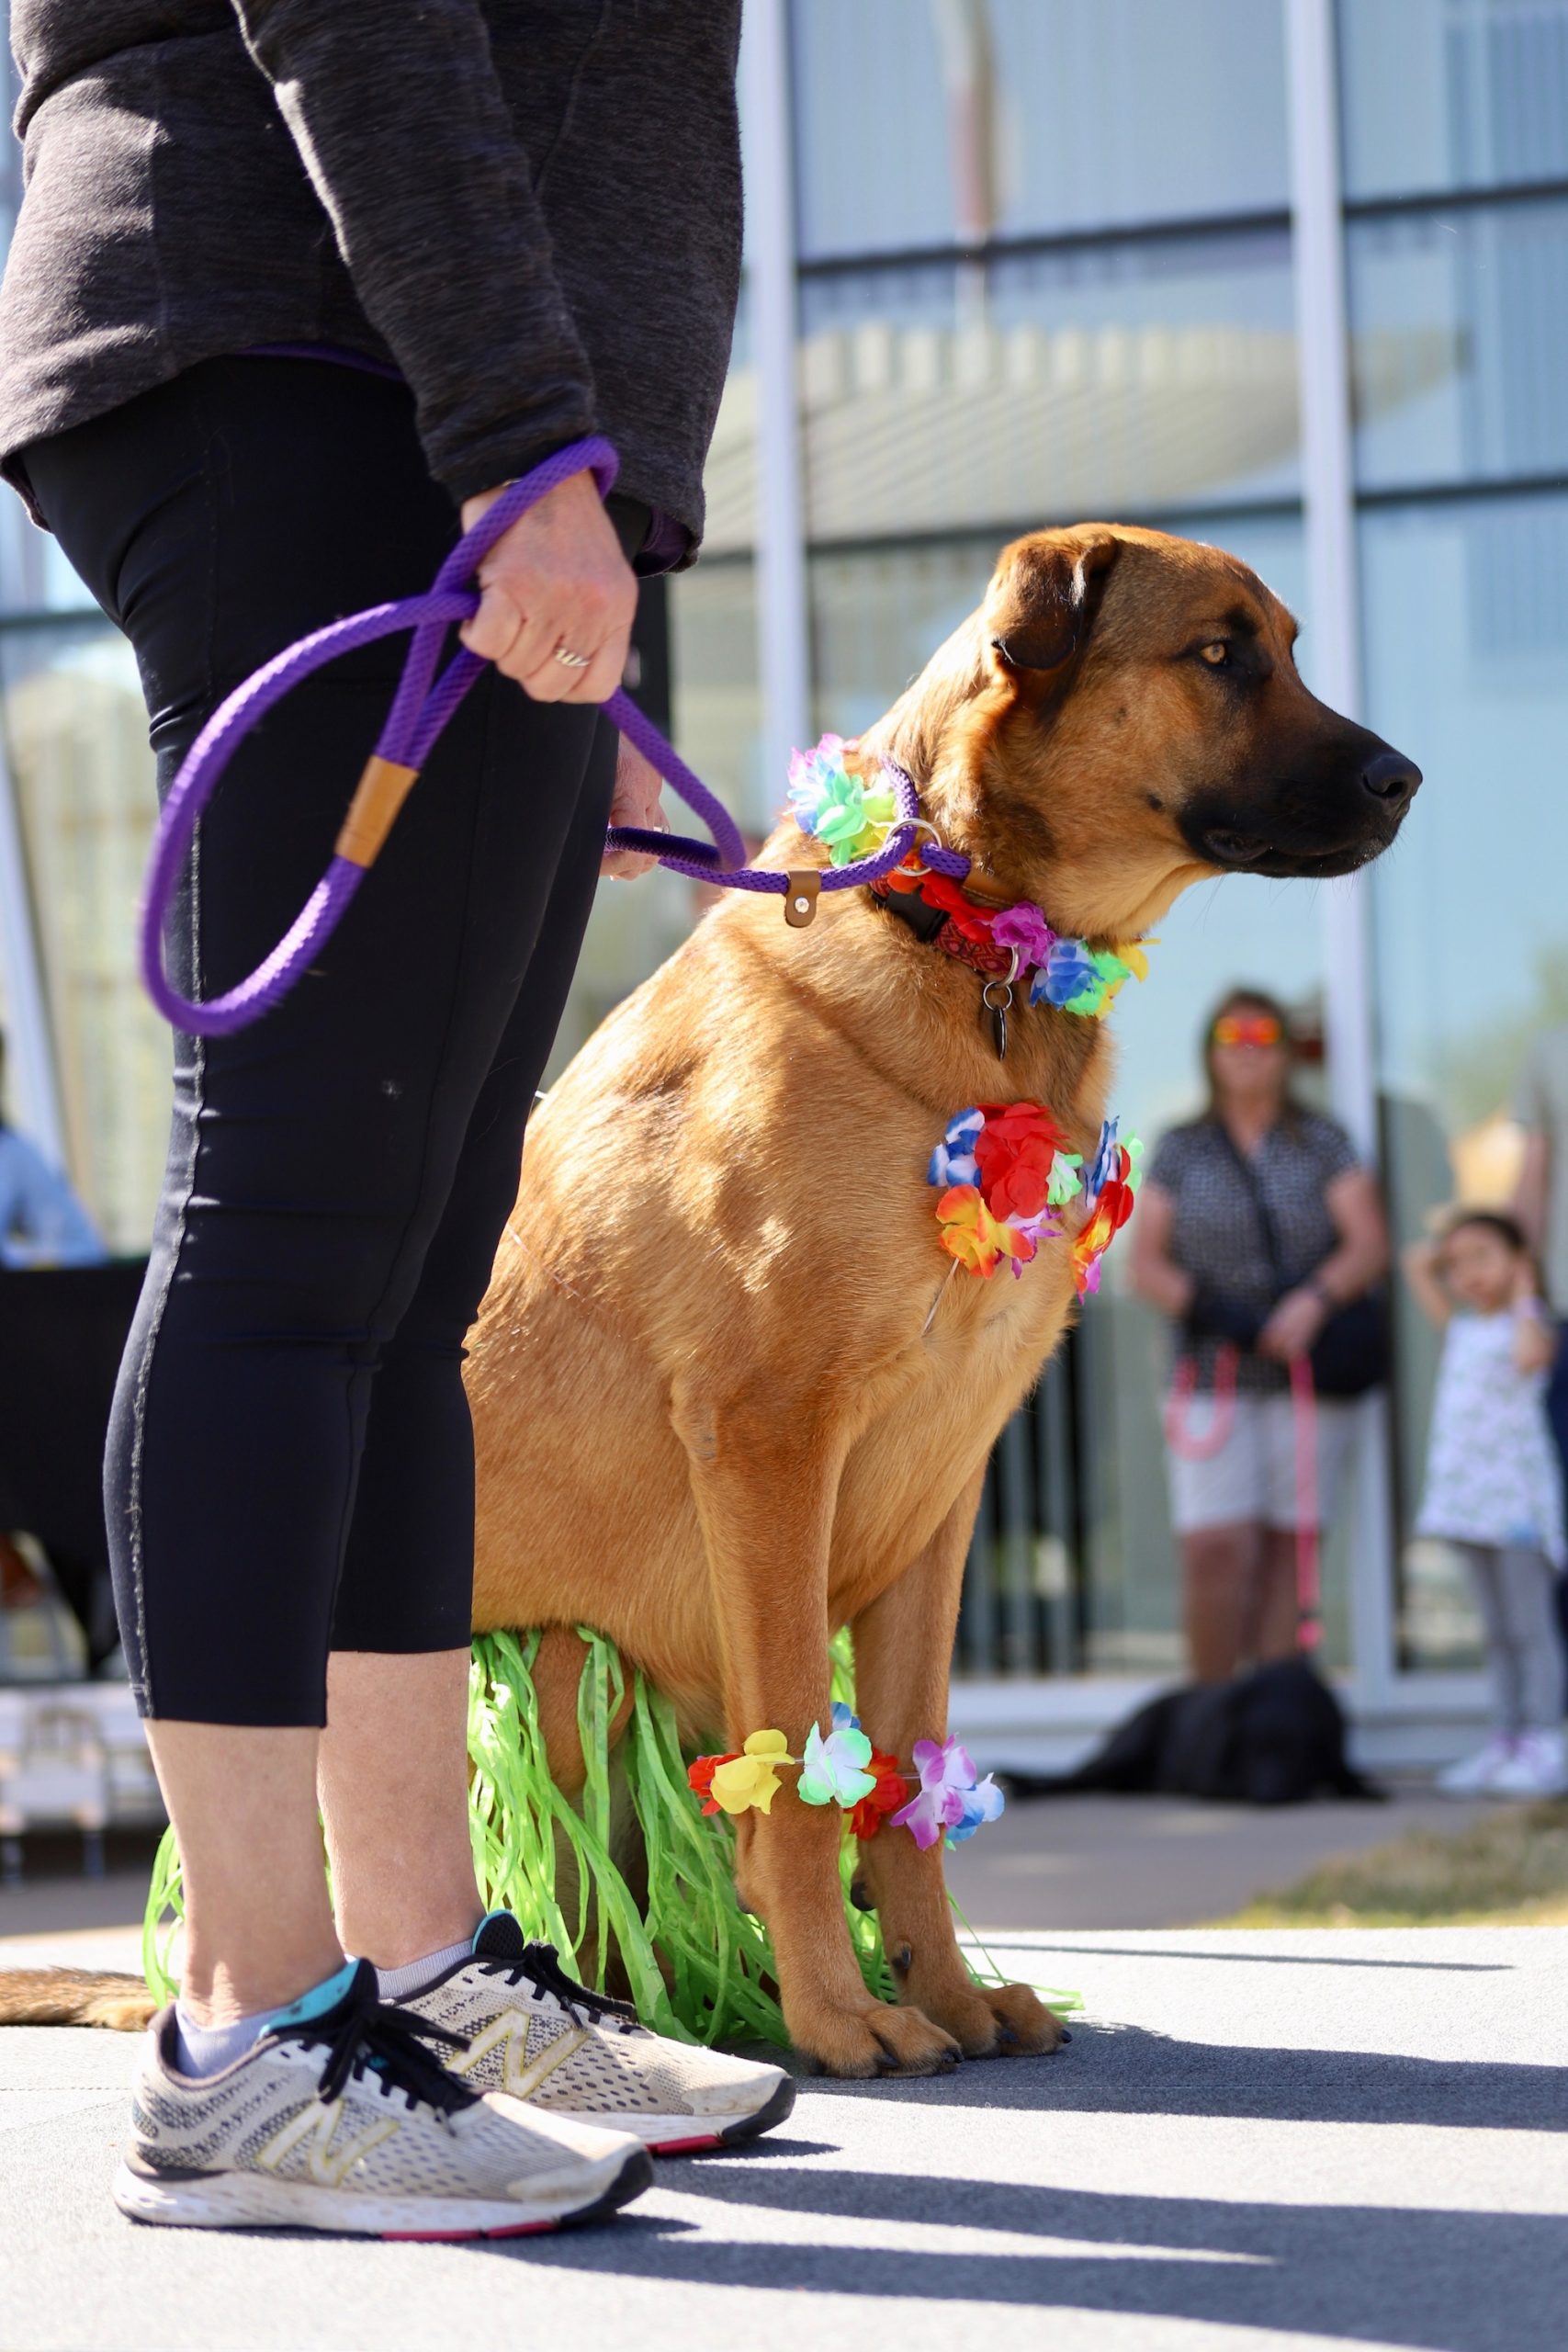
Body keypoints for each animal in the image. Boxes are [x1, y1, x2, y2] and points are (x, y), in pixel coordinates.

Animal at [1010, 1665, 1382, 1806]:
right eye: (1253, 1754)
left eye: (1296, 1756)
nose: (1268, 1796)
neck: (1284, 1695)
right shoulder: (1211, 1780)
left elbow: (1344, 1771)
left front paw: (1364, 1789)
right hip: (1129, 1747)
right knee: (1074, 1779)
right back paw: (1028, 1789)